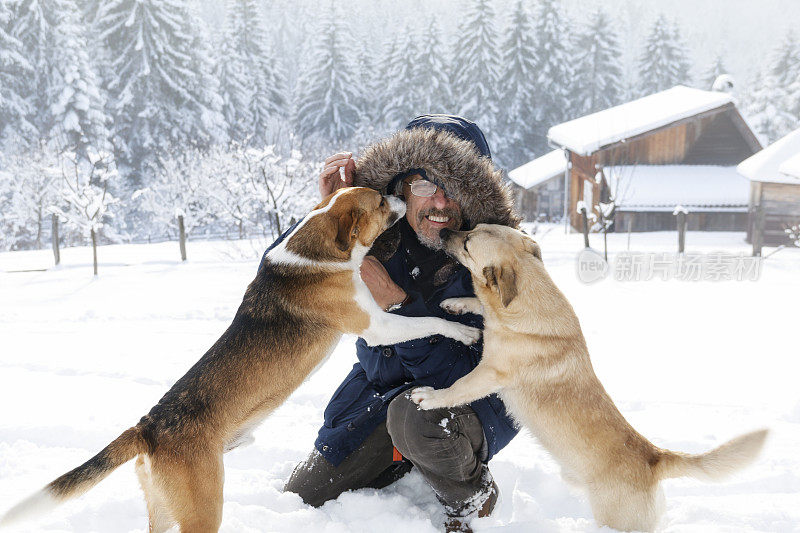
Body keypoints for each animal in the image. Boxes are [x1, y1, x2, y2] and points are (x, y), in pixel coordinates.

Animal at [1, 186, 482, 528]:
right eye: (381, 201)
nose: (399, 194)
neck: (318, 252)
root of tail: (148, 427)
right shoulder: (377, 324)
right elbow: (427, 321)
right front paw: (462, 329)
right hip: (203, 507)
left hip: (165, 508)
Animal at [412, 222, 768, 528]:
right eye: (471, 228)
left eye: (467, 243)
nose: (444, 231)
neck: (529, 306)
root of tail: (654, 458)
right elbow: (479, 305)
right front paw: (457, 303)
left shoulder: (489, 372)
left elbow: (457, 387)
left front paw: (430, 396)